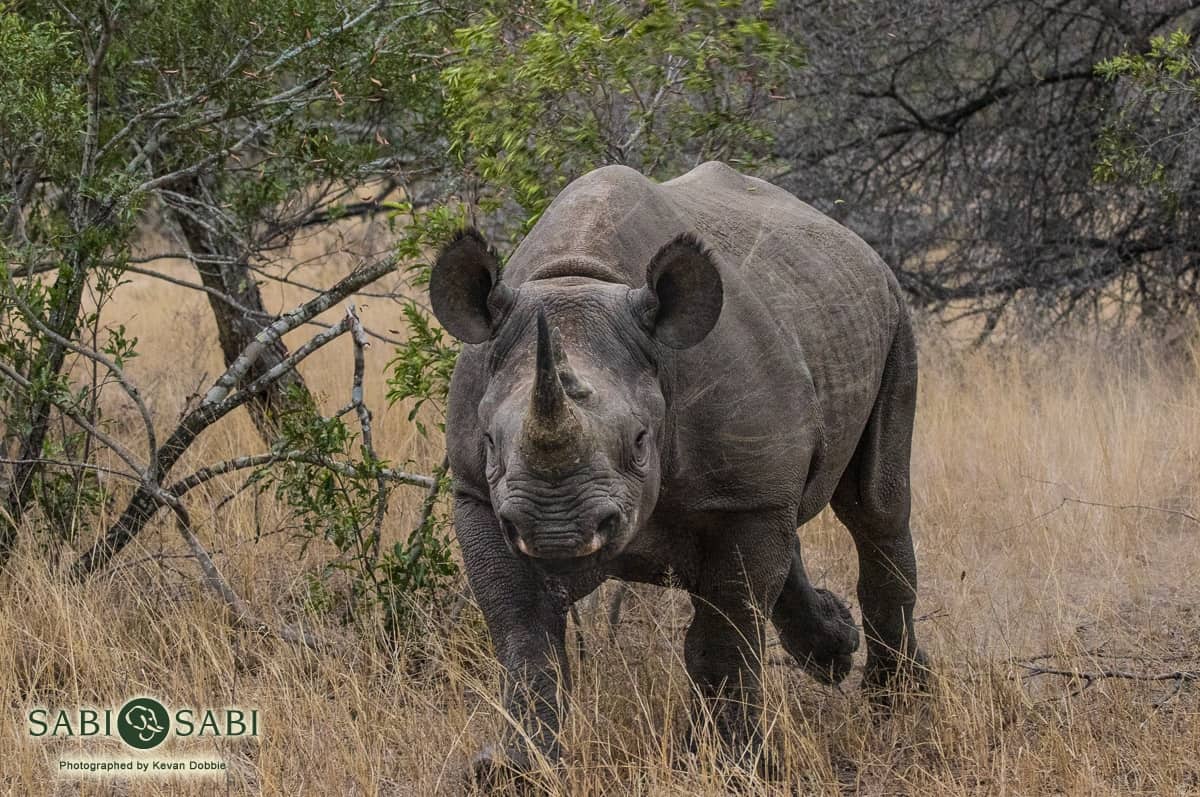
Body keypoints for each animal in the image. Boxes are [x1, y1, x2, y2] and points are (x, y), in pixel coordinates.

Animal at [429, 161, 927, 776]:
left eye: (642, 442)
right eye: (492, 443)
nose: (557, 534)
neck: (578, 280)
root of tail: (849, 238)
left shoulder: (744, 499)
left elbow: (725, 633)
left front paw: (733, 764)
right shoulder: (480, 493)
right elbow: (523, 633)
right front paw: (517, 769)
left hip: (894, 311)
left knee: (874, 507)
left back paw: (898, 705)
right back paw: (835, 652)